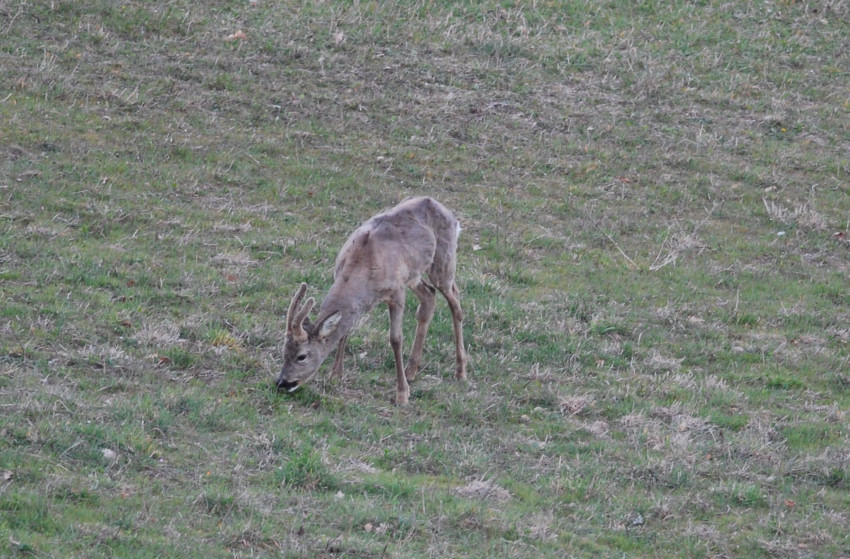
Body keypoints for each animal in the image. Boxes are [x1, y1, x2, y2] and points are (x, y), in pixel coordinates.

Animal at [274, 199, 468, 404]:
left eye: (301, 356)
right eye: (284, 351)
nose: (282, 382)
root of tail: (448, 212)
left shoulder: (397, 291)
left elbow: (396, 339)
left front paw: (402, 394)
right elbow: (345, 331)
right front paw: (335, 376)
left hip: (444, 260)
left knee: (455, 301)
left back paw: (460, 371)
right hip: (414, 274)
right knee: (429, 295)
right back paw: (411, 371)